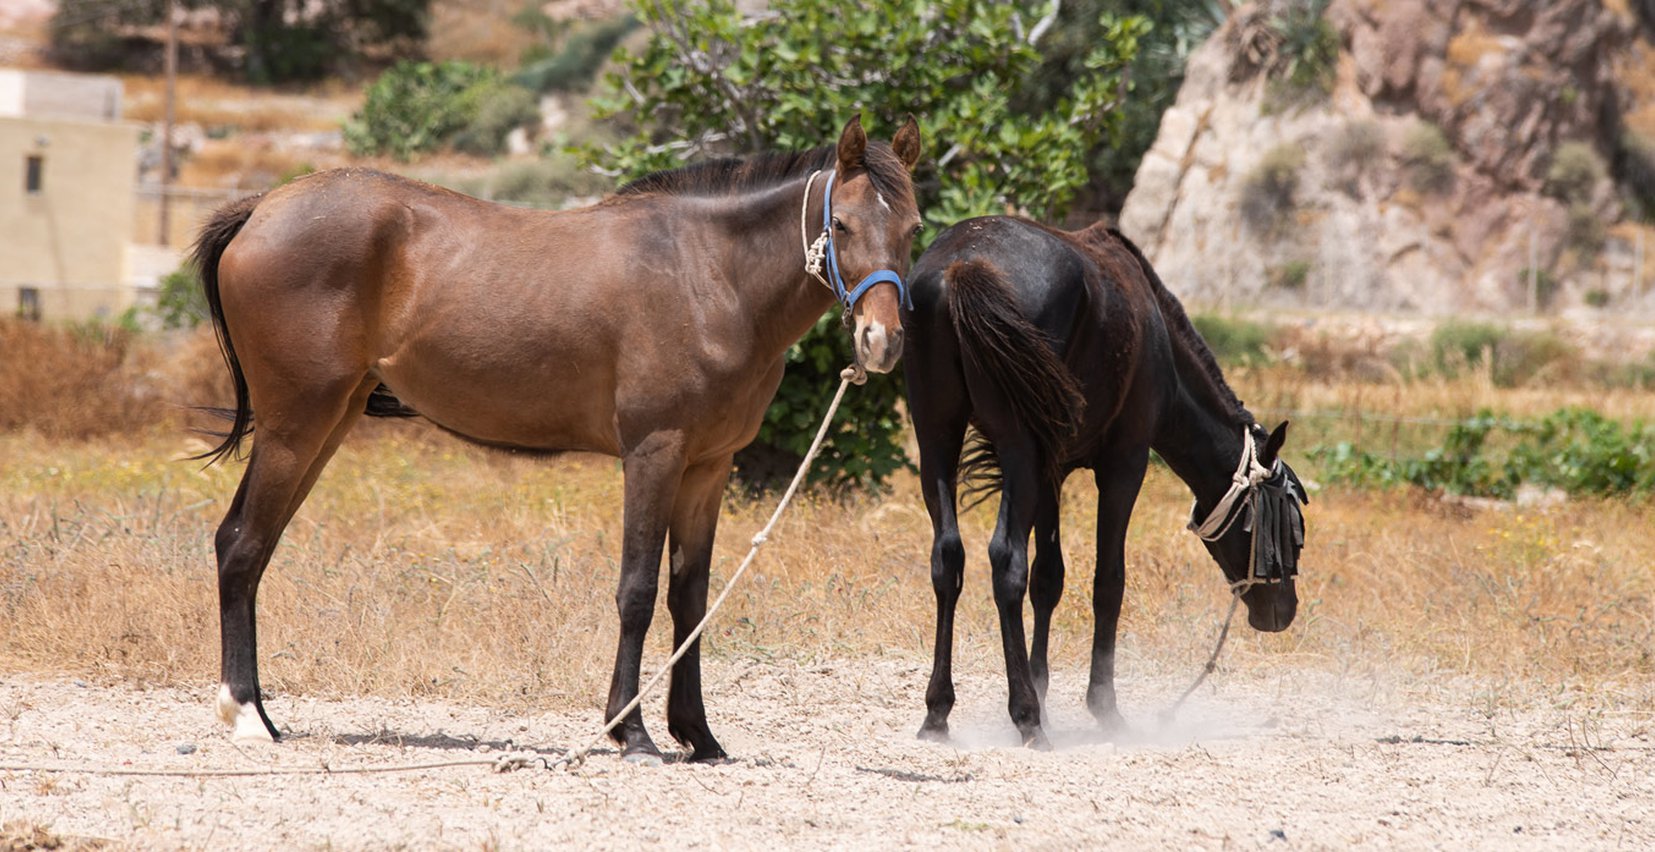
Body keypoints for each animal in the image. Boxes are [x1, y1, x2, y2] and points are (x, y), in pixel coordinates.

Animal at [195, 116, 926, 764]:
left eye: (914, 228)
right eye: (841, 224)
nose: (882, 342)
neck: (709, 274)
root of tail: (262, 208)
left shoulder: (708, 467)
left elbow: (688, 597)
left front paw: (699, 735)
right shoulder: (654, 455)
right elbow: (637, 590)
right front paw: (632, 734)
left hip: (330, 421)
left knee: (251, 547)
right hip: (297, 425)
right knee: (242, 544)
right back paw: (247, 715)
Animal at [906, 218, 1304, 747]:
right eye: (1291, 526)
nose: (1284, 609)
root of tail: (963, 266)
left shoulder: (1051, 469)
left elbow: (1048, 579)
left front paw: (1042, 688)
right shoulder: (1124, 465)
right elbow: (1108, 581)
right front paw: (1101, 707)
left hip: (937, 439)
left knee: (947, 558)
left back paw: (938, 711)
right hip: (1018, 450)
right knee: (1006, 560)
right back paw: (1025, 716)